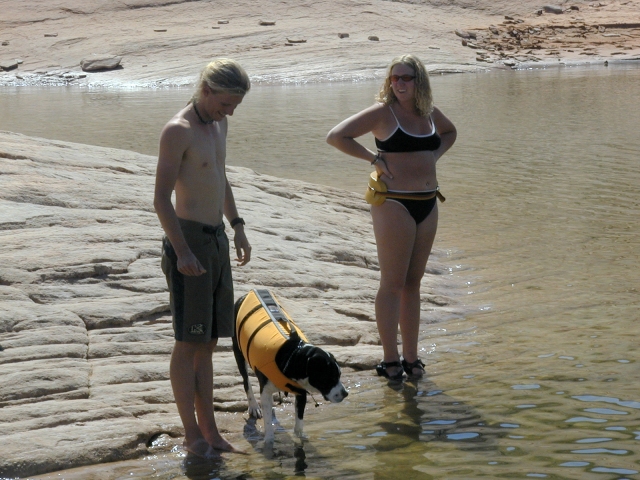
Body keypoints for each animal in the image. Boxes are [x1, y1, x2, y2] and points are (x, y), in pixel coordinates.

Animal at [232, 288, 348, 442]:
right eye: (329, 377)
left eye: (339, 375)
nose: (345, 393)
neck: (294, 355)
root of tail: (248, 293)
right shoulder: (266, 391)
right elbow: (268, 423)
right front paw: (269, 441)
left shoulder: (301, 392)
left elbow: (299, 422)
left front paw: (301, 438)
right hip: (238, 351)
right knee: (246, 381)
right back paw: (254, 406)